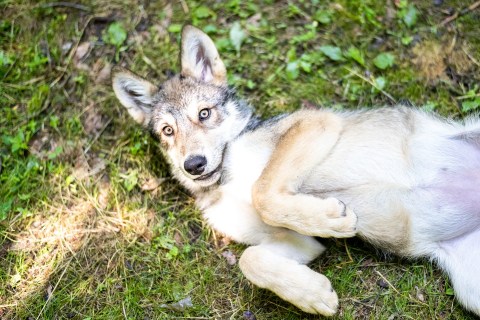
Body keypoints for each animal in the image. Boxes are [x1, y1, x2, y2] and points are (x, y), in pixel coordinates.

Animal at [111, 25, 480, 316]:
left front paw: (331, 219)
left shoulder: (314, 122)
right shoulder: (302, 243)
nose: (194, 165)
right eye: (167, 131)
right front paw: (312, 295)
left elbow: (263, 193)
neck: (227, 178)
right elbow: (250, 261)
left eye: (204, 114)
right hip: (471, 290)